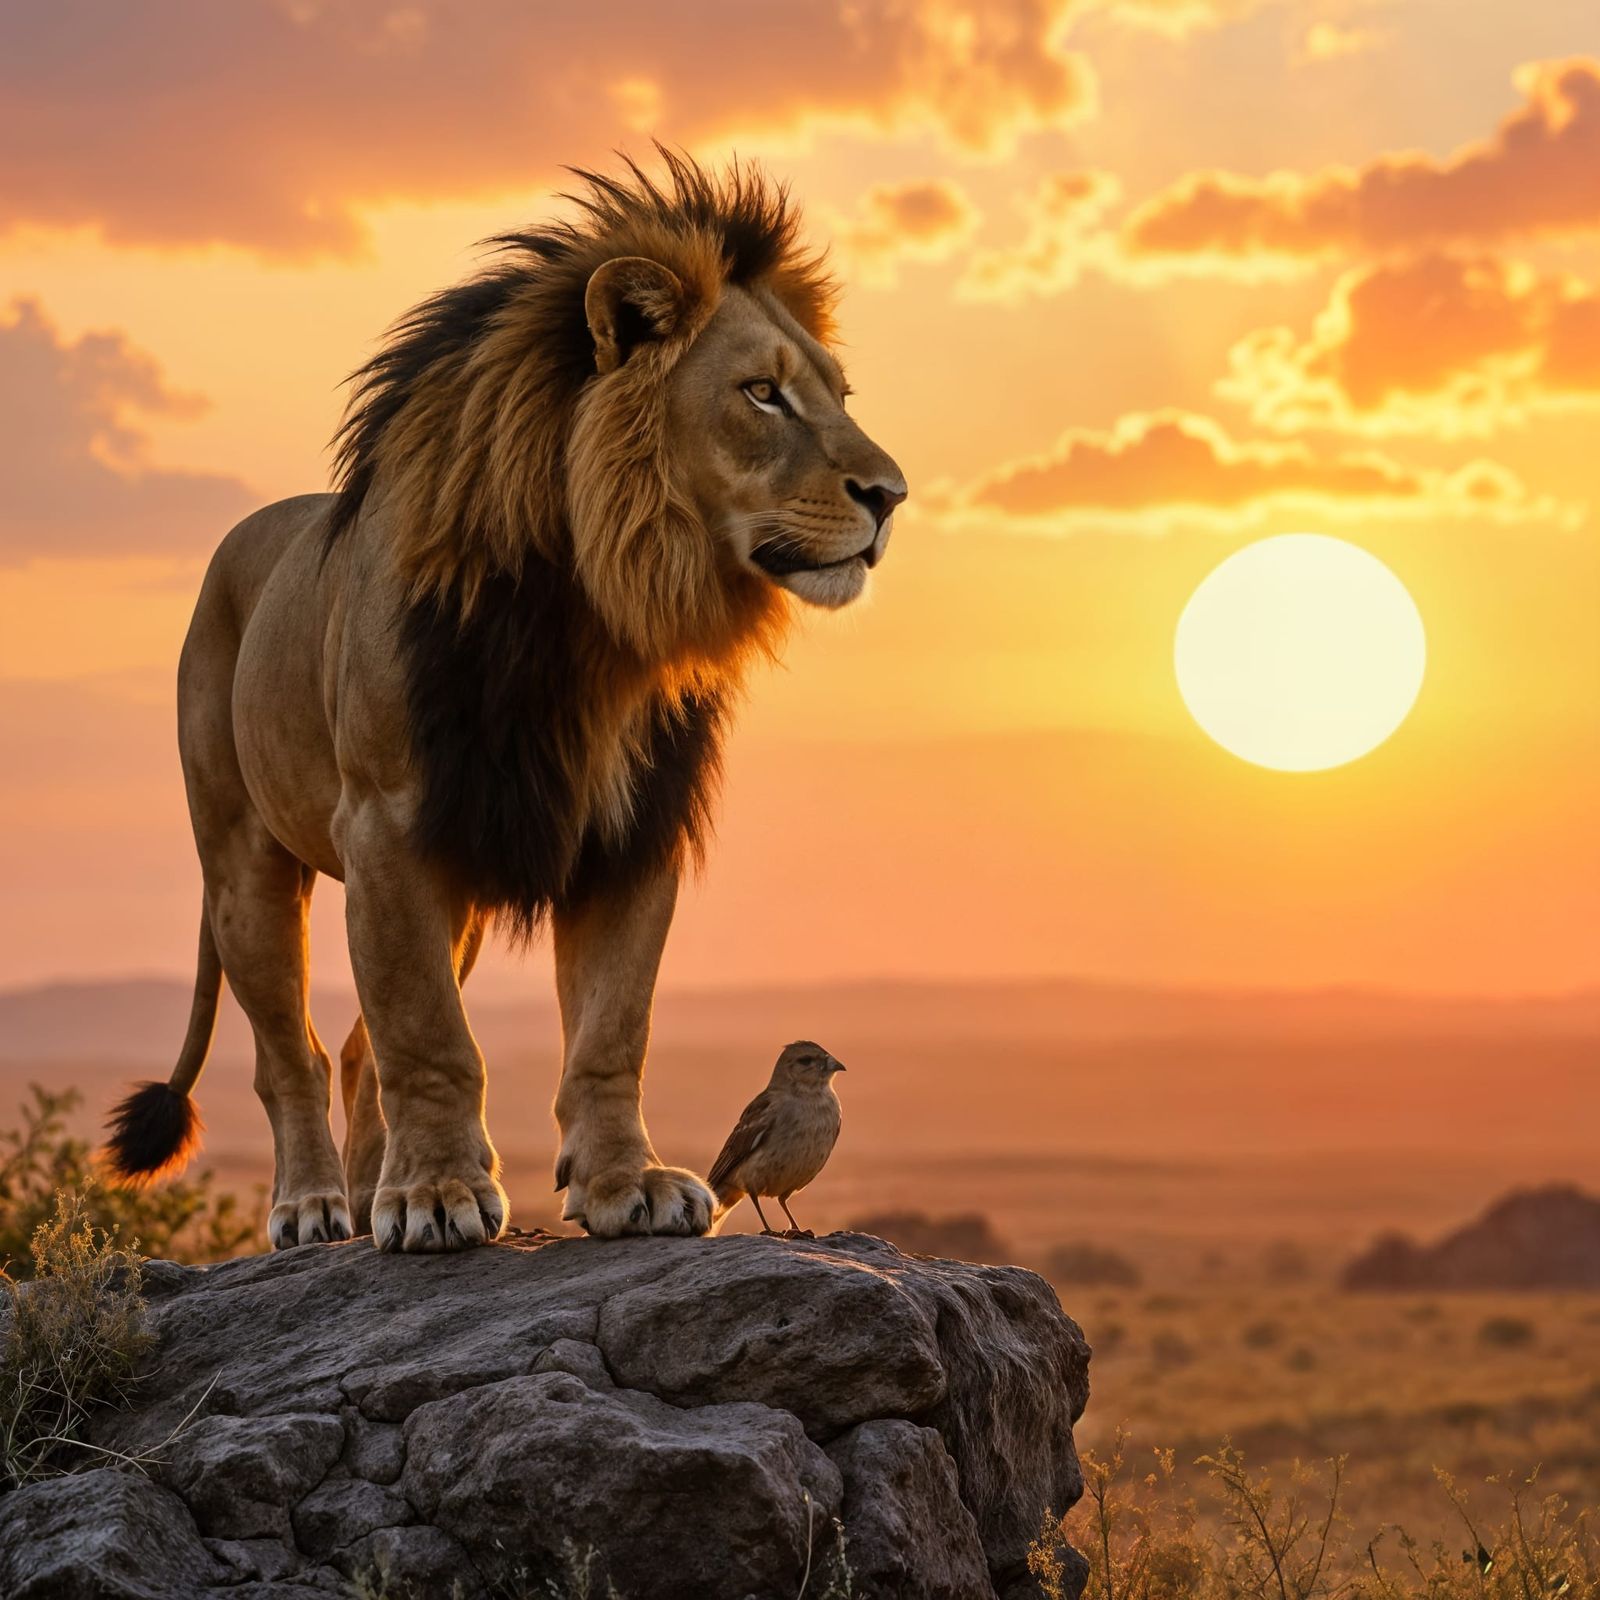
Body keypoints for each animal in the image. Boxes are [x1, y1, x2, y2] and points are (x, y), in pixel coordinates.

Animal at [101, 151, 906, 1253]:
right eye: (761, 394)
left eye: (837, 394)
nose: (893, 495)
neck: (594, 612)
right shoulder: (390, 825)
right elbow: (429, 1036)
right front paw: (438, 1195)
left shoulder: (631, 830)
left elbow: (611, 1029)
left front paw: (627, 1185)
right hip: (244, 866)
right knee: (291, 1055)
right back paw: (318, 1206)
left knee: (355, 1054)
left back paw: (371, 1194)